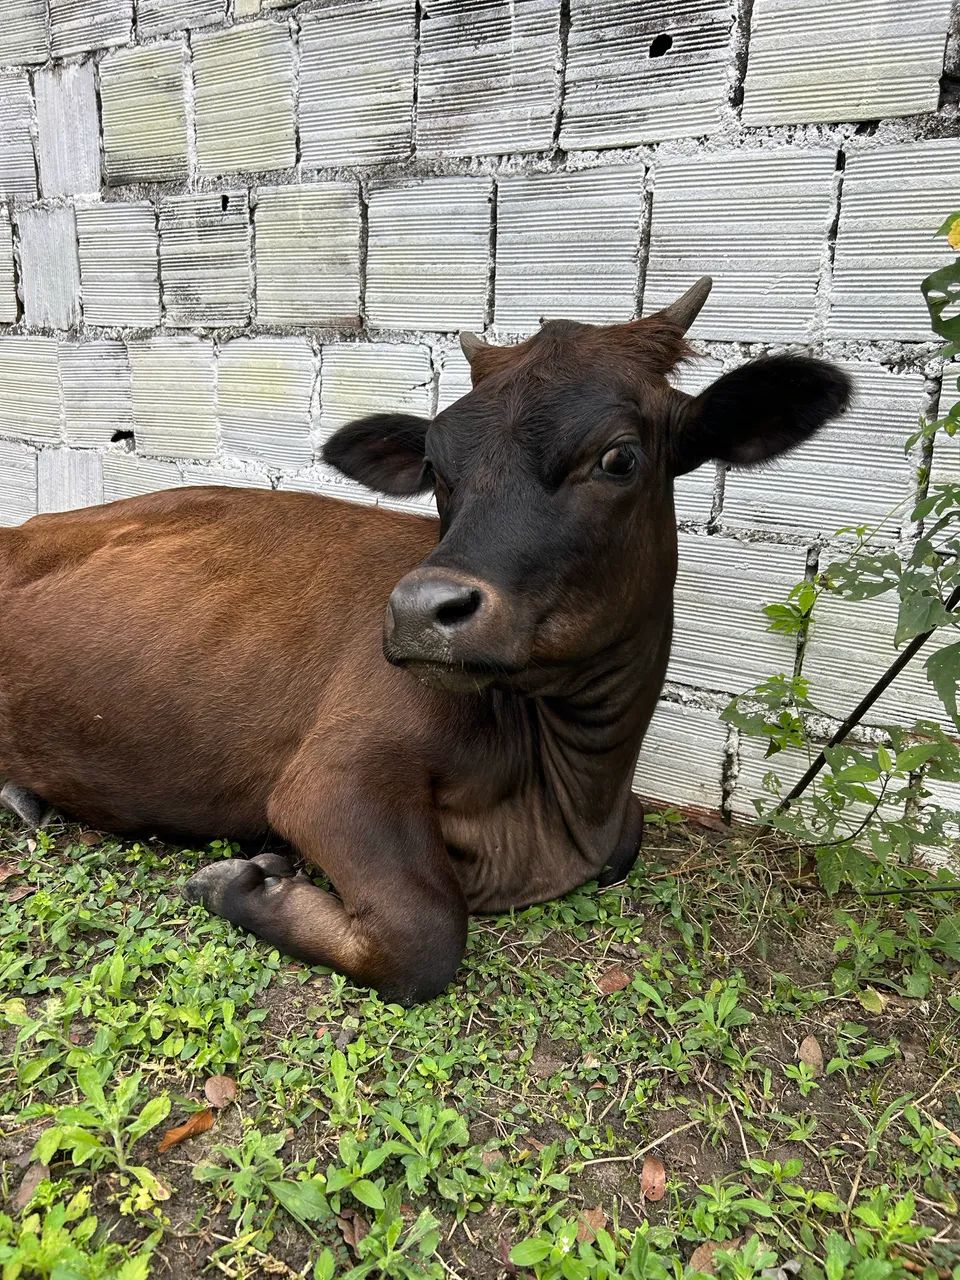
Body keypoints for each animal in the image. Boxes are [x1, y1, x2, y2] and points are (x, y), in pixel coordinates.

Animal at [0, 279, 851, 1004]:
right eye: (437, 468)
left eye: (619, 457)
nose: (416, 609)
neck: (568, 791)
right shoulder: (332, 777)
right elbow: (424, 936)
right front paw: (241, 883)